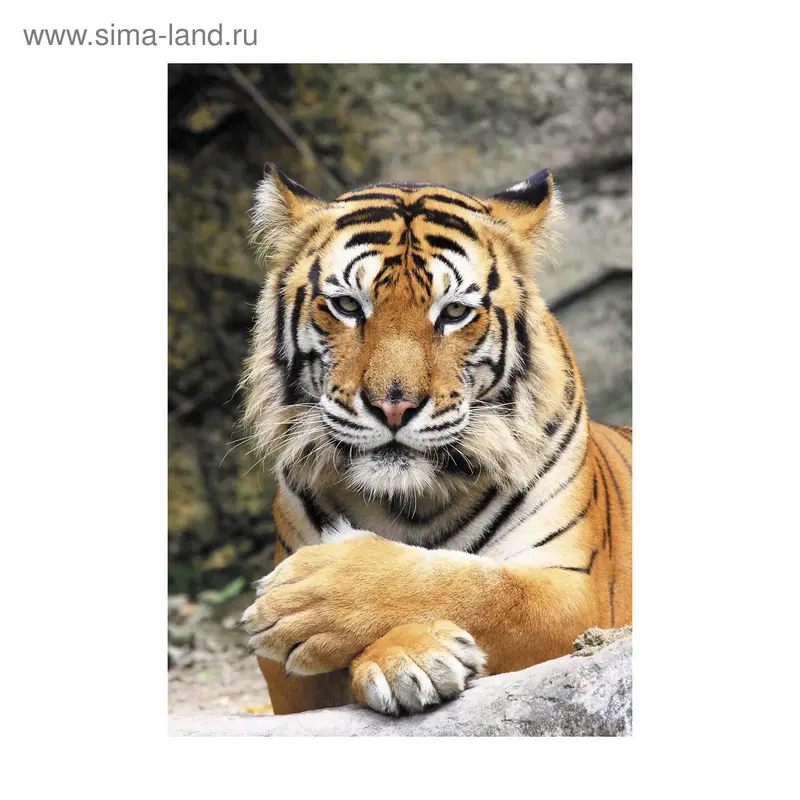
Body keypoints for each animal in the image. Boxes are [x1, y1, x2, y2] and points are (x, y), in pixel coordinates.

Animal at [238, 164, 632, 717]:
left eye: (453, 313)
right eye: (346, 306)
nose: (393, 406)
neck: (410, 503)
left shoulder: (580, 593)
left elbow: (484, 589)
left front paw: (312, 601)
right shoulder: (289, 687)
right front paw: (411, 656)